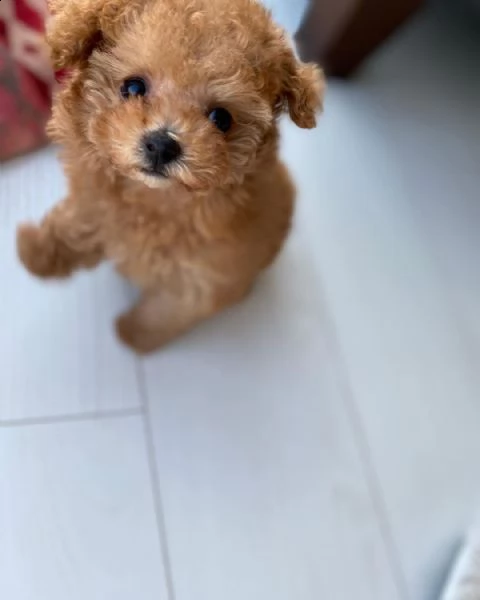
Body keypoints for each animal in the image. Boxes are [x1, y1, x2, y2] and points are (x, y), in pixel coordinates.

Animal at [16, 0, 322, 352]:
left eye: (221, 118)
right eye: (133, 87)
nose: (163, 145)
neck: (153, 200)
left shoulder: (199, 280)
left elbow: (167, 311)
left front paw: (133, 335)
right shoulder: (94, 201)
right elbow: (74, 224)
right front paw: (35, 253)